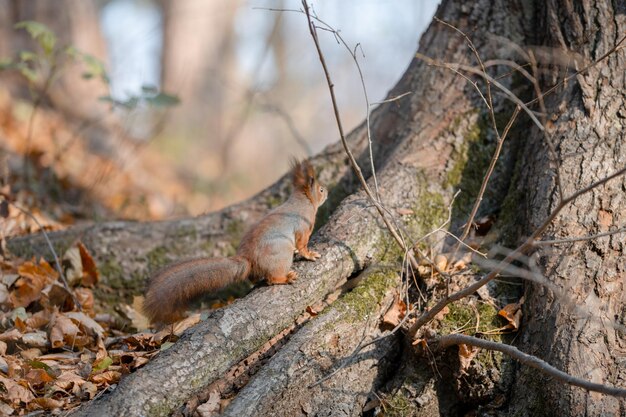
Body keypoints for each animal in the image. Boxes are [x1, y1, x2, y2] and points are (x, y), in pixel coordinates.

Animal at [141, 159, 326, 324]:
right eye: (321, 190)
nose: (328, 192)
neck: (303, 201)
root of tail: (249, 260)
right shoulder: (304, 227)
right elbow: (302, 245)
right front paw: (310, 254)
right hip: (280, 254)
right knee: (272, 278)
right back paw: (286, 278)